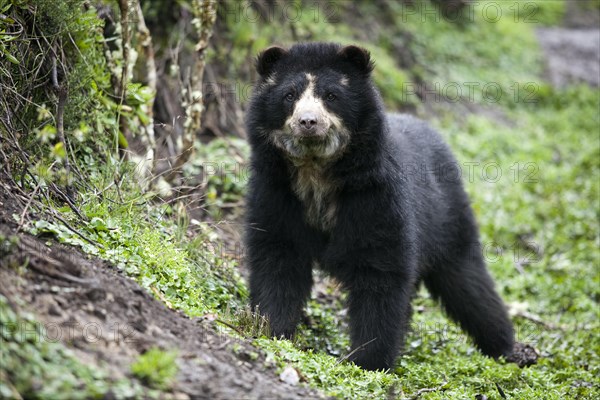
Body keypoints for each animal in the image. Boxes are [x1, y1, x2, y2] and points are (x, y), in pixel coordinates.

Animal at [241, 42, 512, 370]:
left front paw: (369, 361)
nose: (308, 122)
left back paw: (508, 348)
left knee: (468, 283)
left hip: (448, 217)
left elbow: (380, 273)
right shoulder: (275, 191)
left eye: (331, 95)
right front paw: (271, 329)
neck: (315, 171)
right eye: (289, 95)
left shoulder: (375, 197)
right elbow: (277, 259)